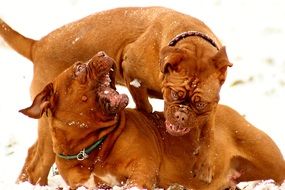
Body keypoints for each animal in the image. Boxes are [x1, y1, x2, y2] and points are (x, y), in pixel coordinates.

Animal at [0, 7, 231, 184]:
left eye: (199, 104)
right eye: (174, 94)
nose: (181, 115)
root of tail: (37, 45)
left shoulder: (212, 104)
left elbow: (208, 132)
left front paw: (204, 164)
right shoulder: (132, 73)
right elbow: (144, 107)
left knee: (32, 154)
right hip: (49, 131)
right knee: (38, 165)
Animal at [18, 50, 282, 190]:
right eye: (79, 69)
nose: (103, 53)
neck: (90, 144)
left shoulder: (141, 169)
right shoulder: (83, 184)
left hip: (270, 162)